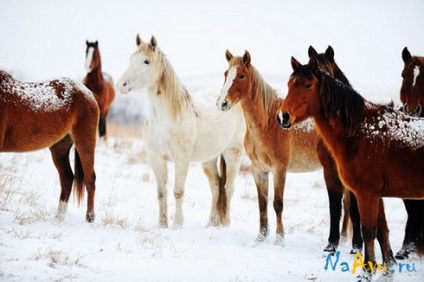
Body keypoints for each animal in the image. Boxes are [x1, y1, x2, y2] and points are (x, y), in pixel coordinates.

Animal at [0, 70, 98, 223]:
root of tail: (88, 93)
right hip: (60, 148)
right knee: (67, 178)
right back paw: (58, 219)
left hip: (85, 141)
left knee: (90, 179)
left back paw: (90, 219)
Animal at [117, 35, 247, 229]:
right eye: (131, 59)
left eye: (146, 61)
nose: (122, 85)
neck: (163, 120)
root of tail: (229, 102)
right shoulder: (156, 159)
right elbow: (161, 193)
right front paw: (162, 224)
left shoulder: (181, 159)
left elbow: (178, 191)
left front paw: (177, 224)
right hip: (209, 159)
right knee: (216, 187)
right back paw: (211, 223)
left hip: (233, 154)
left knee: (228, 188)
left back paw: (225, 224)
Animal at [278, 56, 424, 278]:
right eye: (289, 84)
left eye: (307, 85)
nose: (283, 117)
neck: (362, 132)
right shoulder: (375, 195)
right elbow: (382, 231)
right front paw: (387, 268)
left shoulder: (366, 193)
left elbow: (368, 231)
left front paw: (367, 272)